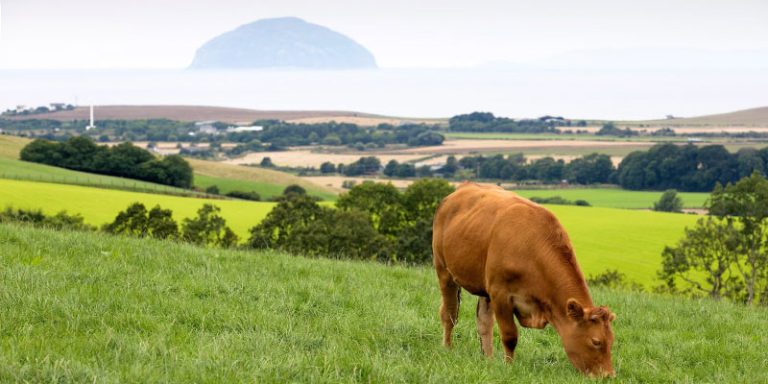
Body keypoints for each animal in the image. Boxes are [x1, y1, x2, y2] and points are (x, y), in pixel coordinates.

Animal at [432, 182, 616, 376]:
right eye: (596, 341)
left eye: (611, 341)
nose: (608, 376)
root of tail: (462, 187)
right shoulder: (500, 294)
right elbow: (510, 335)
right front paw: (508, 367)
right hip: (443, 270)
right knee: (449, 313)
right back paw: (447, 347)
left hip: (483, 285)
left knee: (484, 321)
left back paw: (488, 359)